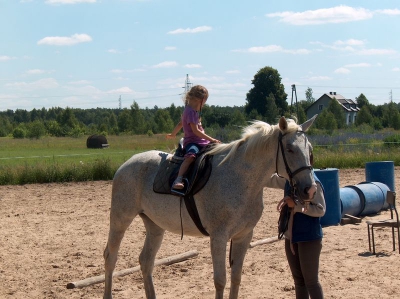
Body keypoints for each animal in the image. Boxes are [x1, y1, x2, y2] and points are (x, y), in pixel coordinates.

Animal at [104, 116, 318, 298]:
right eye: (289, 149)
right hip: (120, 220)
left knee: (146, 261)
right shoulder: (219, 237)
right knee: (110, 257)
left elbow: (236, 277)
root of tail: (127, 164)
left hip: (155, 226)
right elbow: (220, 281)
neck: (240, 178)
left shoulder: (243, 236)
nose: (309, 190)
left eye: (309, 149)